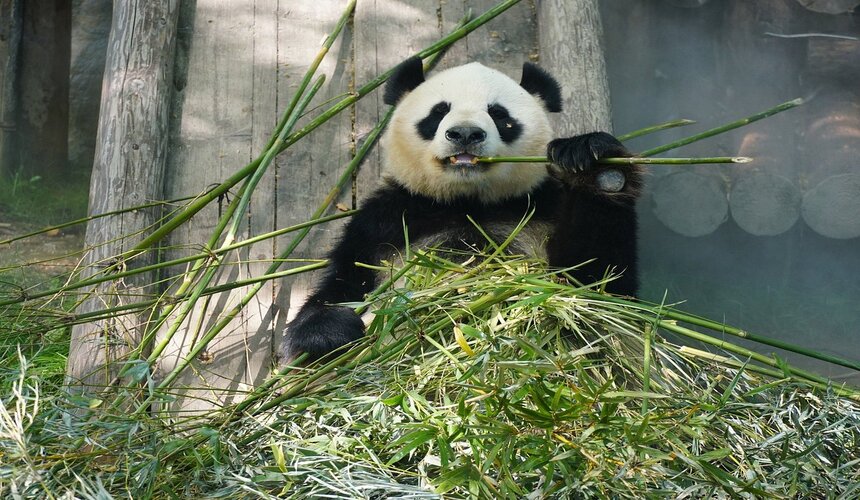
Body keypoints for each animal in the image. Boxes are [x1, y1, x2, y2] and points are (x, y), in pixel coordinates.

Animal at [284, 57, 641, 362]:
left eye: (499, 114)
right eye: (439, 111)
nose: (466, 133)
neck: (466, 202)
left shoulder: (541, 207)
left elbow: (599, 284)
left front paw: (594, 163)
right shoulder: (383, 222)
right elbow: (342, 283)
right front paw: (330, 331)